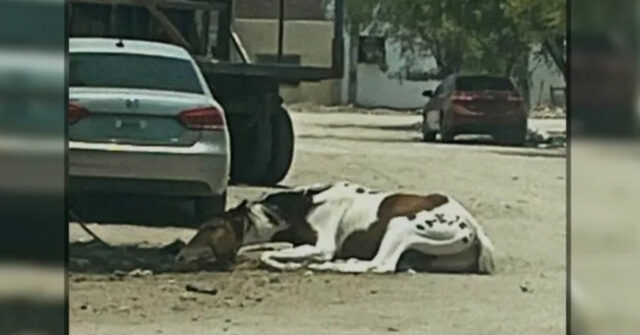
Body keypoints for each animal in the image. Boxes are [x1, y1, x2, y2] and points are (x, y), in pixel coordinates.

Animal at [175, 182, 496, 274]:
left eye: (211, 225)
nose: (180, 255)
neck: (303, 205)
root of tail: (474, 229)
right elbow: (267, 249)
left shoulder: (322, 245)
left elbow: (269, 256)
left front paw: (293, 265)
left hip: (400, 226)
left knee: (381, 265)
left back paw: (333, 266)